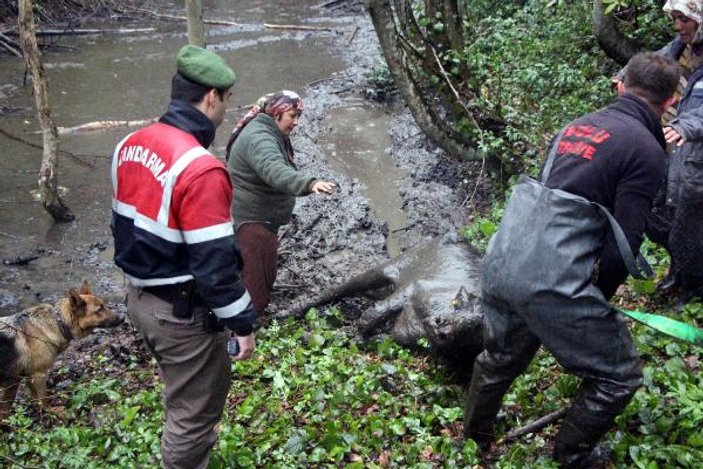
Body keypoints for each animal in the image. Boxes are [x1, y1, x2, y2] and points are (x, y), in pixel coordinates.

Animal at [0, 282, 124, 420]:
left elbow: (32, 401)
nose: (123, 318)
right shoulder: (38, 374)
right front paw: (53, 411)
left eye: (104, 305)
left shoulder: (24, 378)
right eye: (99, 310)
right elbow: (43, 399)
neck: (58, 322)